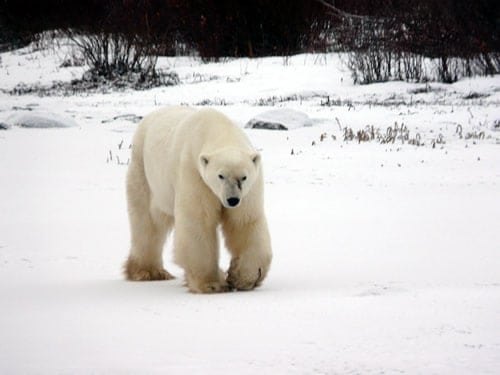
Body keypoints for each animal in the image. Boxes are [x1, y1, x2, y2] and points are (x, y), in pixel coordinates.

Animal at [125, 106, 274, 294]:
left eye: (243, 177)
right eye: (220, 176)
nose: (232, 200)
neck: (218, 128)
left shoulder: (250, 190)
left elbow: (244, 222)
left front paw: (243, 277)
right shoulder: (194, 173)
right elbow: (198, 222)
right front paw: (212, 283)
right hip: (144, 172)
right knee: (147, 222)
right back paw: (148, 272)